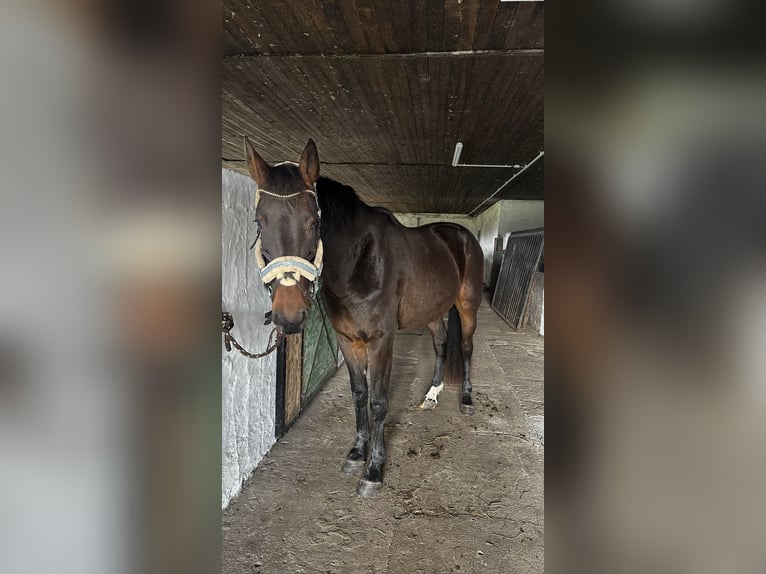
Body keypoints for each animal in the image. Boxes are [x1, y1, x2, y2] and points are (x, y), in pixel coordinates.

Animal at [243, 137, 484, 497]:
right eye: (260, 223)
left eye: (313, 222)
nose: (290, 316)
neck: (359, 261)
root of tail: (461, 234)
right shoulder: (348, 340)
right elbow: (359, 395)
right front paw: (357, 453)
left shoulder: (381, 341)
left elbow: (379, 401)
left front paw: (374, 471)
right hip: (432, 309)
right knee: (441, 343)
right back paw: (431, 395)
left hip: (467, 306)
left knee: (466, 348)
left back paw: (466, 399)